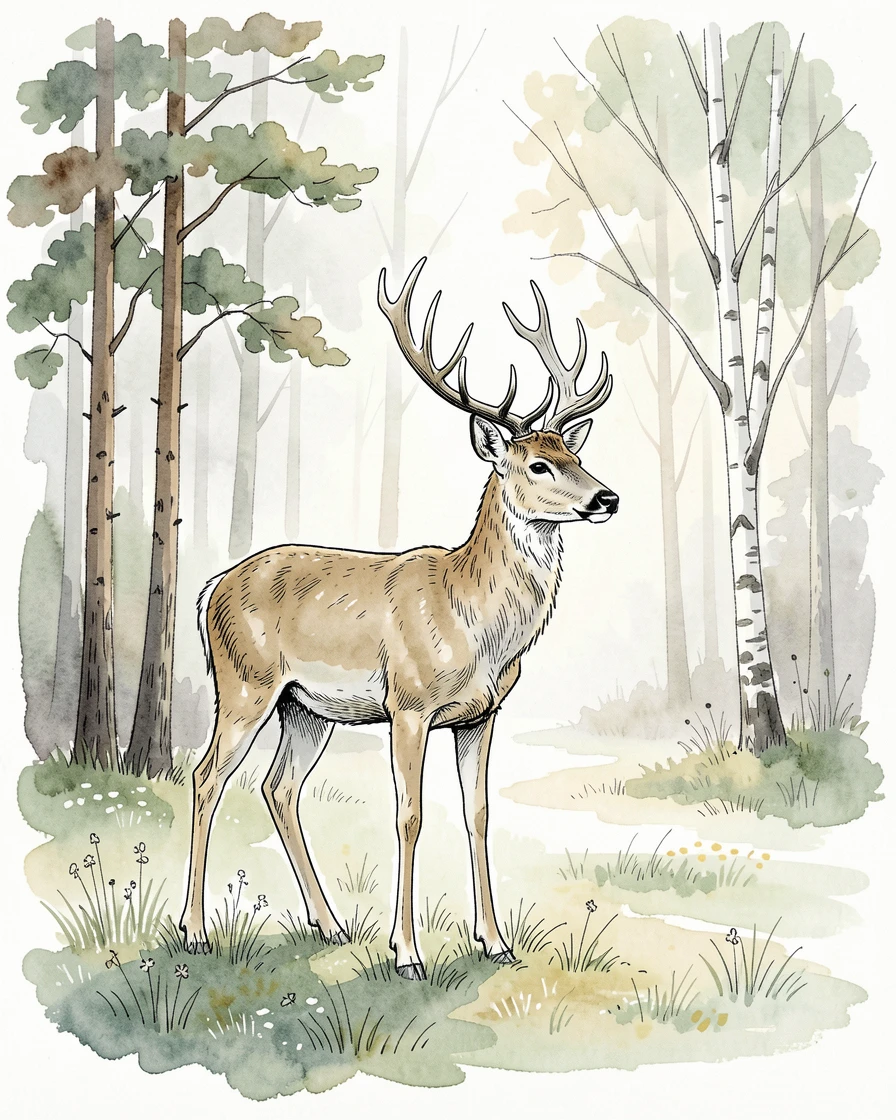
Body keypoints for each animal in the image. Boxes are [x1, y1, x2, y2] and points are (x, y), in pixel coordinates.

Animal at [180, 257, 617, 978]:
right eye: (538, 464)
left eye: (576, 456)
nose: (607, 497)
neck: (475, 622)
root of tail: (209, 588)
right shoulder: (409, 703)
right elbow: (409, 815)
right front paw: (407, 952)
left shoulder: (482, 714)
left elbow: (478, 815)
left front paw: (496, 942)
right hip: (244, 681)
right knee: (206, 777)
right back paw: (194, 931)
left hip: (305, 707)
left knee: (279, 787)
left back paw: (329, 924)